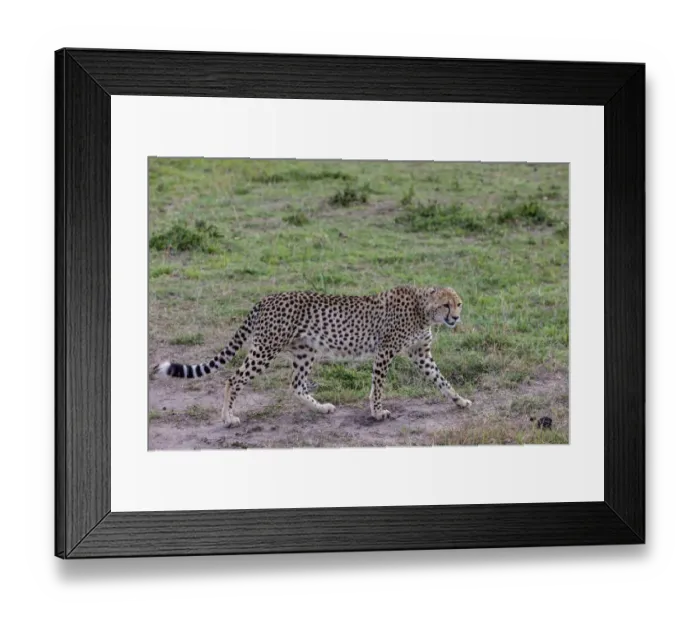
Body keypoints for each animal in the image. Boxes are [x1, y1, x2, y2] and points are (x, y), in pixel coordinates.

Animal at [151, 285, 472, 427]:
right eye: (446, 304)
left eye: (458, 303)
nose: (456, 318)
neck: (423, 310)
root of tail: (266, 298)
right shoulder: (385, 352)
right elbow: (378, 386)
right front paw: (377, 412)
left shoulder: (421, 354)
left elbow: (442, 380)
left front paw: (459, 401)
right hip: (266, 349)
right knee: (234, 378)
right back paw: (228, 417)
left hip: (306, 351)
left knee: (295, 385)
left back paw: (321, 409)